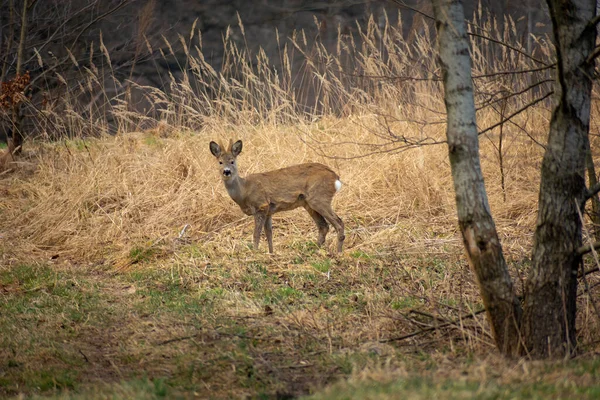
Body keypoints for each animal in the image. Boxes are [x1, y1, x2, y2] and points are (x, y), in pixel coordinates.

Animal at [210, 140, 344, 253]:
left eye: (232, 161)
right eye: (220, 162)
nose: (227, 171)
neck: (244, 190)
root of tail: (335, 178)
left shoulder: (261, 205)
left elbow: (256, 233)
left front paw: (255, 252)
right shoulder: (269, 210)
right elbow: (269, 234)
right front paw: (271, 253)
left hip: (319, 198)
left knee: (338, 222)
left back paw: (338, 253)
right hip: (308, 203)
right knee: (323, 226)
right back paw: (314, 250)